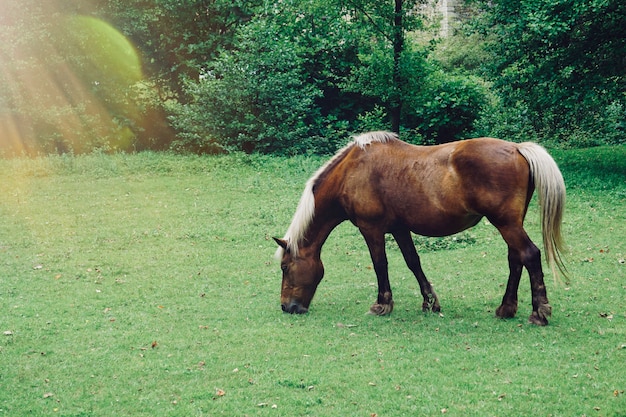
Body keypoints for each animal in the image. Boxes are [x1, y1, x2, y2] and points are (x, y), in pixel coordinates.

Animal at [272, 132, 564, 324]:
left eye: (285, 267)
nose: (286, 306)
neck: (352, 172)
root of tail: (517, 148)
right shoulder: (400, 229)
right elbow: (413, 262)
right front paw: (430, 302)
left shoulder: (371, 229)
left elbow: (380, 264)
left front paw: (382, 304)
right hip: (510, 224)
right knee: (515, 259)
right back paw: (506, 308)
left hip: (506, 224)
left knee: (529, 255)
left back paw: (539, 312)